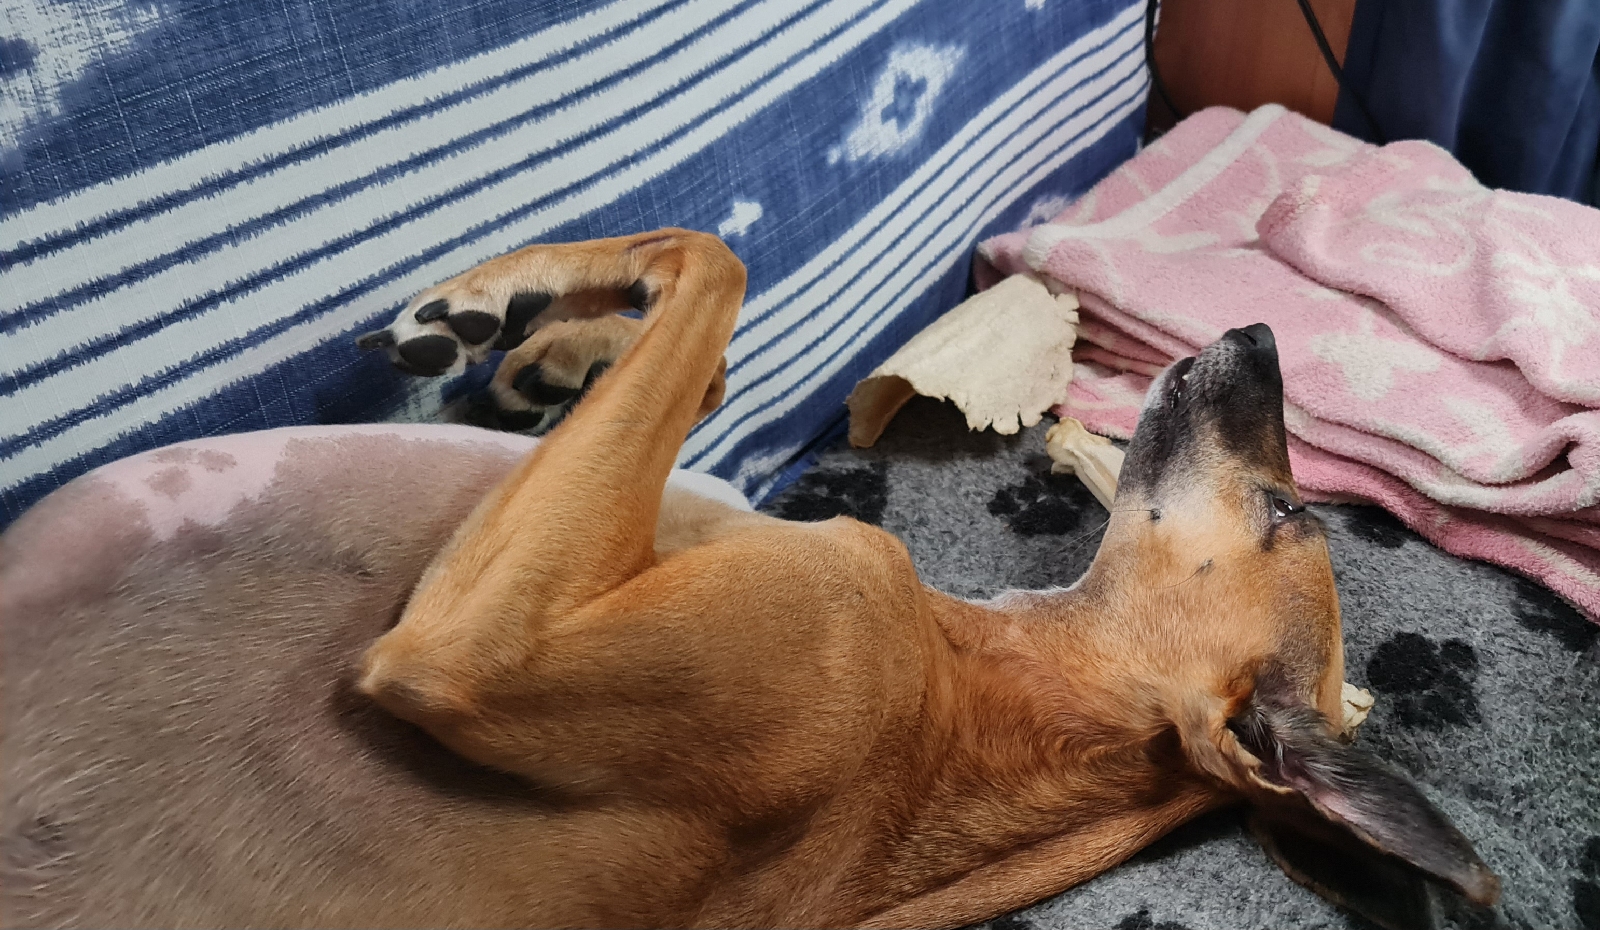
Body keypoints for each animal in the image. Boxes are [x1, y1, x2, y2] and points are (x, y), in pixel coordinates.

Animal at [0, 229, 1496, 929]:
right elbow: (699, 355)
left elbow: (710, 260)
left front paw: (521, 294)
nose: (1260, 333)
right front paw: (544, 339)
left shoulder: (478, 649)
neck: (992, 690)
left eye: (1295, 508)